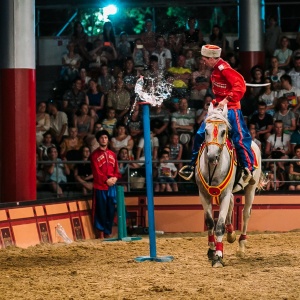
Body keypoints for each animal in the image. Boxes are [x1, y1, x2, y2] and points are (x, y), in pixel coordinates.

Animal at [196, 103, 262, 268]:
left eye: (223, 131)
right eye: (205, 131)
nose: (212, 156)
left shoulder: (224, 193)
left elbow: (219, 226)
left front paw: (219, 256)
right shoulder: (203, 194)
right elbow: (210, 222)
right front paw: (212, 249)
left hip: (250, 189)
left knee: (246, 213)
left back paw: (241, 246)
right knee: (232, 202)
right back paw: (231, 233)